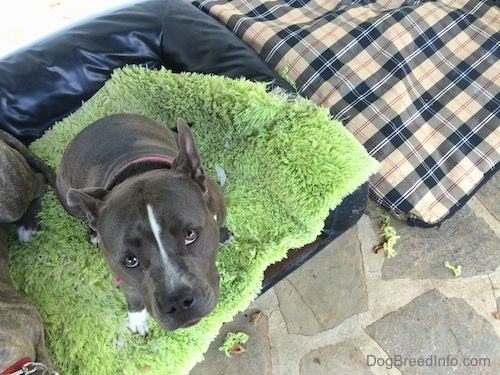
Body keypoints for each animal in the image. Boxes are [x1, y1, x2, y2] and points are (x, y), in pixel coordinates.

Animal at [55, 113, 227, 336]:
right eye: (130, 260)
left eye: (190, 234)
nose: (177, 300)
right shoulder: (118, 272)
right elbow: (132, 294)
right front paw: (137, 317)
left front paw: (224, 235)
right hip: (70, 203)